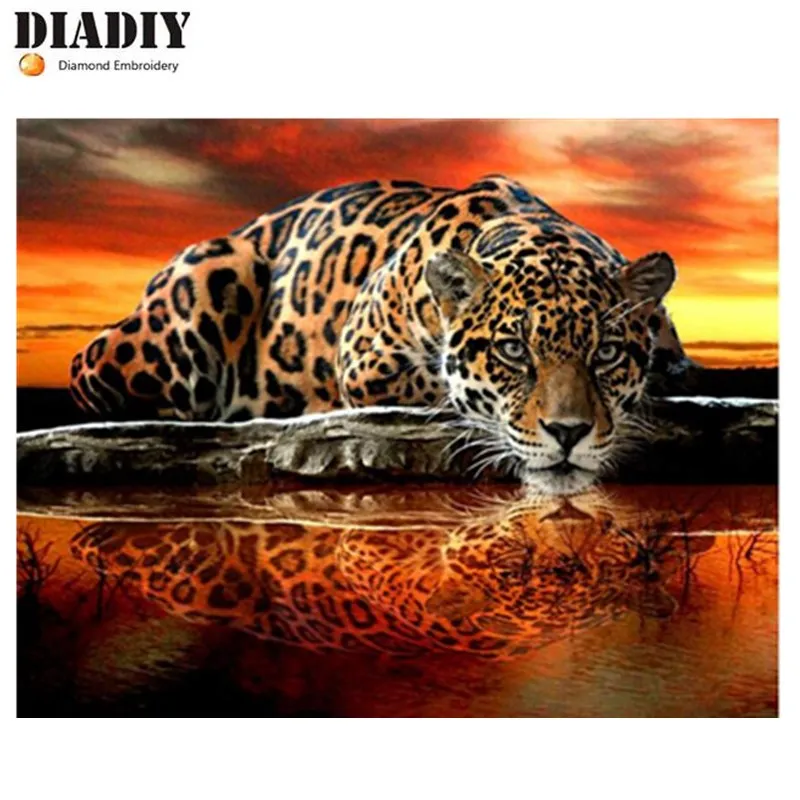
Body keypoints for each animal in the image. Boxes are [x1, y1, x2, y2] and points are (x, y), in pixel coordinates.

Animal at [69, 175, 687, 492]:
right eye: (513, 351)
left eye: (606, 353)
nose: (568, 434)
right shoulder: (366, 359)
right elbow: (442, 389)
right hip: (209, 276)